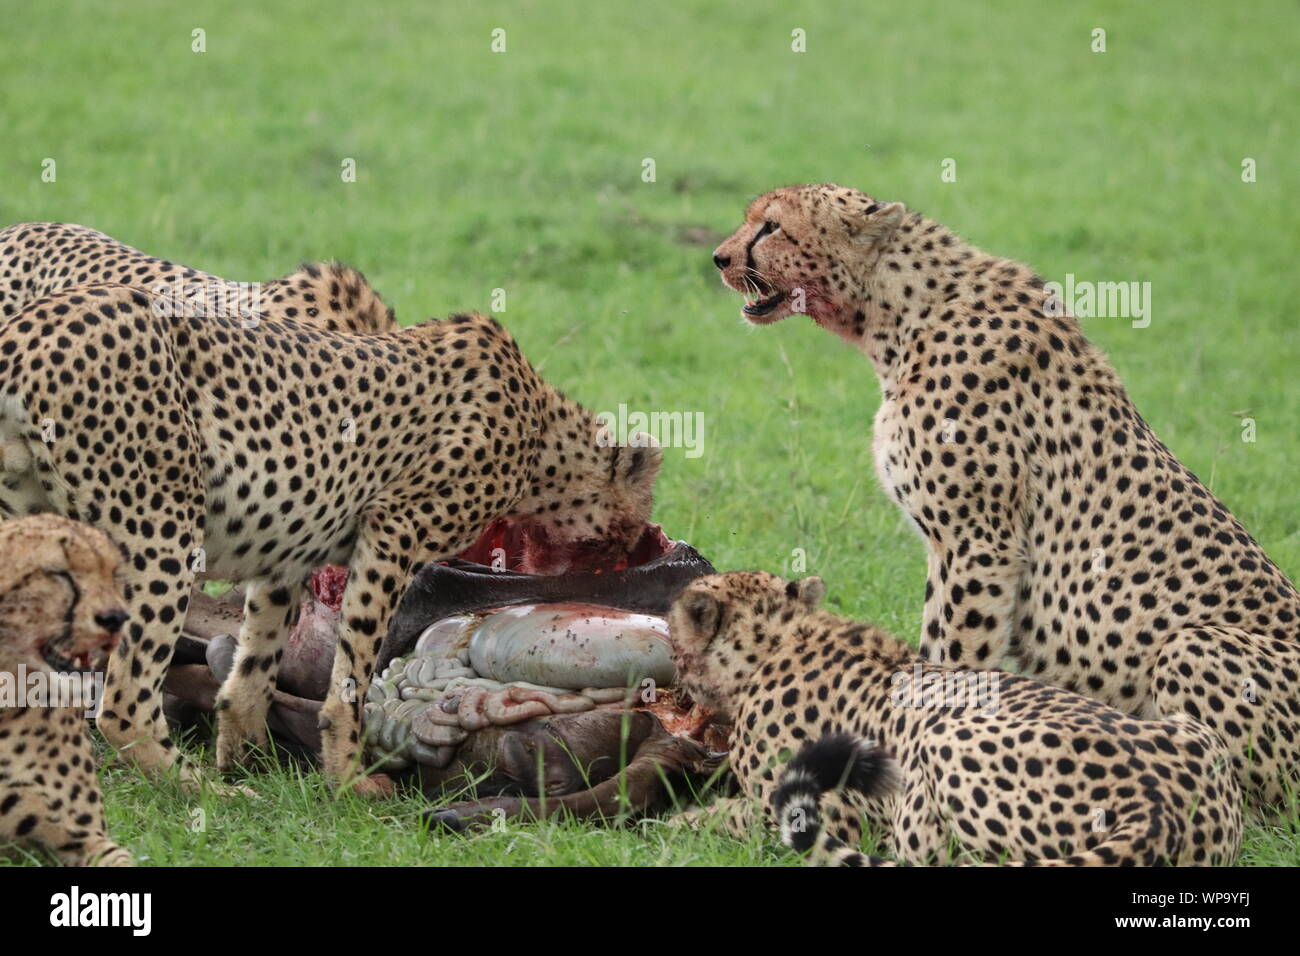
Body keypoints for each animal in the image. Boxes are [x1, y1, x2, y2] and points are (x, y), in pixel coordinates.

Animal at [0, 287, 660, 796]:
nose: (628, 560)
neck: (543, 438)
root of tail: (30, 325)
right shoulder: (393, 530)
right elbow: (353, 674)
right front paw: (347, 782)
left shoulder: (286, 555)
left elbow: (254, 667)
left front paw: (250, 757)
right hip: (163, 533)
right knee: (125, 700)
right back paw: (200, 790)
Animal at [670, 572, 1237, 868]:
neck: (779, 638)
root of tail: (1158, 804)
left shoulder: (832, 812)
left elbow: (725, 817)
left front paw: (669, 823)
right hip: (1195, 730)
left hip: (938, 741)